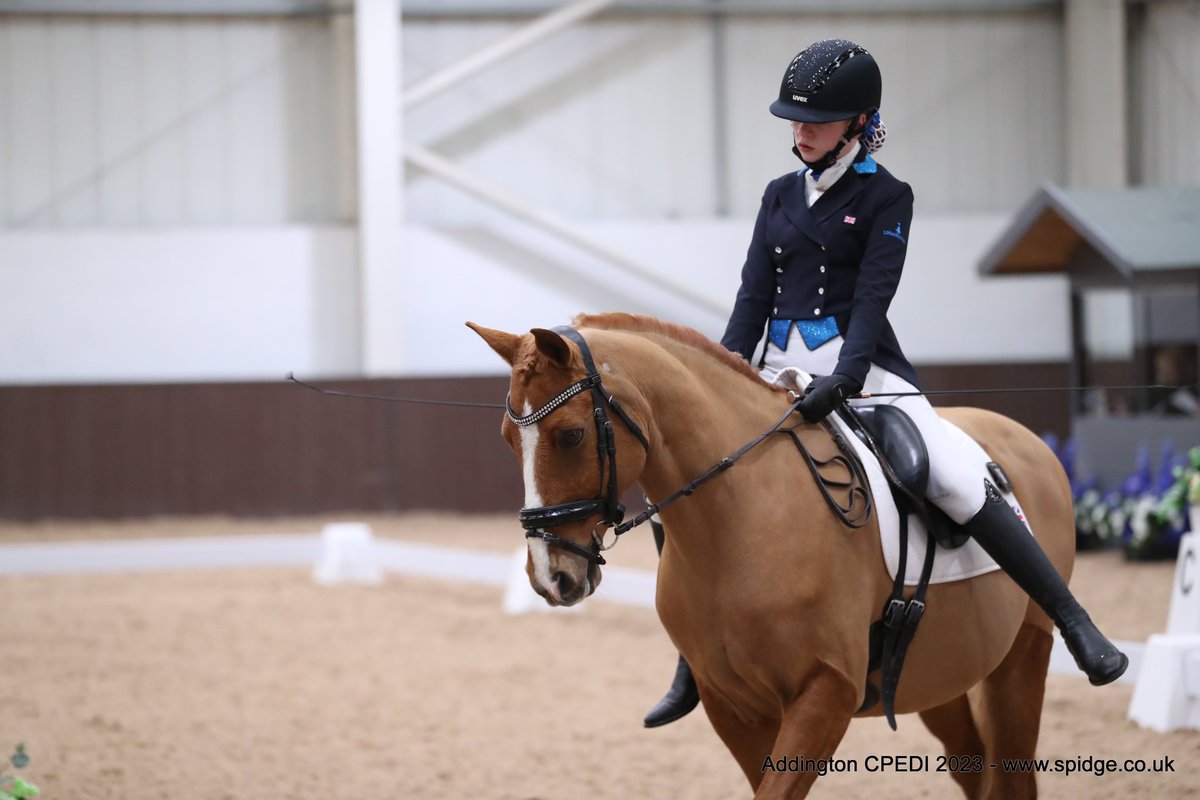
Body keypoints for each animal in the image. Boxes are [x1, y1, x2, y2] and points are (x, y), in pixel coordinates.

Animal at [468, 312, 1074, 799]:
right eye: (506, 439)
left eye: (570, 435)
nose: (551, 577)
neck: (740, 523)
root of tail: (1028, 440)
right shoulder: (730, 704)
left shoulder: (826, 692)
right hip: (939, 676)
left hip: (1021, 659)